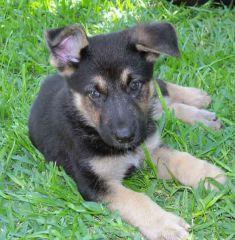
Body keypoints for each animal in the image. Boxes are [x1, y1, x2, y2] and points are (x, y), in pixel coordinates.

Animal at [28, 23, 227, 240]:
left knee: (161, 91)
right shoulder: (94, 183)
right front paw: (165, 224)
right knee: (165, 106)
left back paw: (197, 101)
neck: (88, 125)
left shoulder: (150, 146)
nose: (125, 137)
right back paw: (202, 114)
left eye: (135, 85)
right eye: (94, 93)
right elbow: (135, 199)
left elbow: (180, 159)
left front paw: (209, 175)